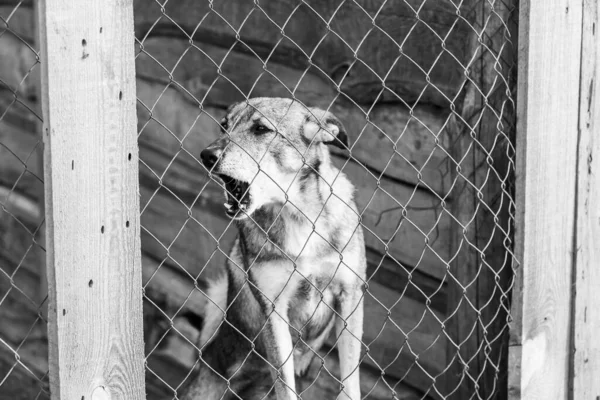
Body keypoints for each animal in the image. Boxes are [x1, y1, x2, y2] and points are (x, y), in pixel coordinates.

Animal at [180, 97, 366, 400]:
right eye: (224, 125)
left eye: (261, 129)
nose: (207, 155)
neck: (298, 216)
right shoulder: (273, 310)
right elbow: (285, 387)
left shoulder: (349, 293)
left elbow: (350, 379)